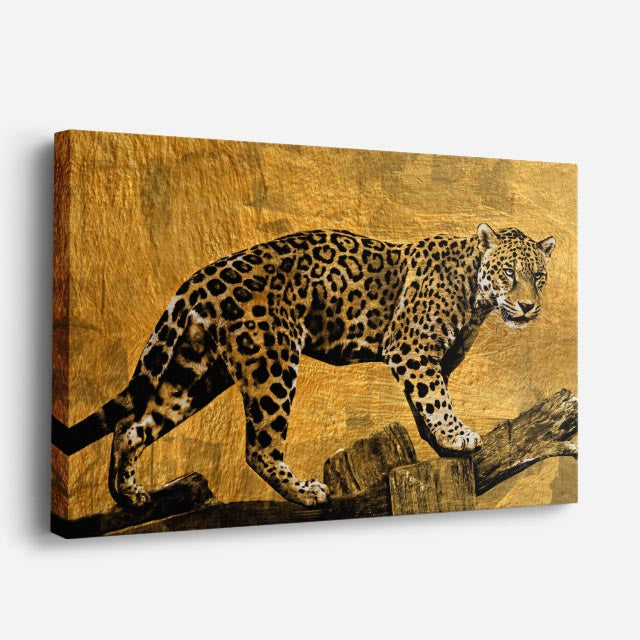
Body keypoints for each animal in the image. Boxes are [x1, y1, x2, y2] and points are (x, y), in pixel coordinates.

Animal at [52, 223, 555, 509]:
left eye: (539, 276)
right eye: (508, 273)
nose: (528, 307)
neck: (475, 294)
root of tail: (200, 278)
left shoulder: (434, 360)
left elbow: (426, 405)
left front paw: (442, 445)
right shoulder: (410, 349)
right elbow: (435, 402)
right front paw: (457, 437)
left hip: (192, 373)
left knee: (132, 426)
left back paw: (129, 494)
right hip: (271, 362)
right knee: (258, 448)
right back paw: (306, 492)